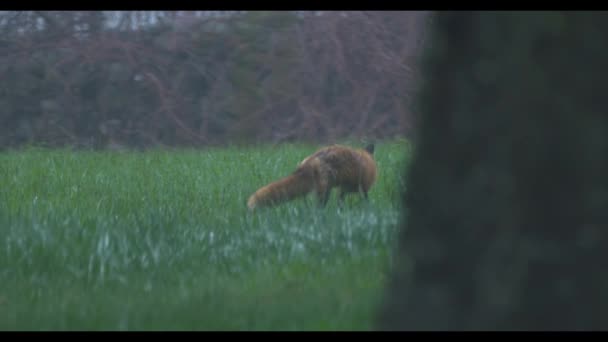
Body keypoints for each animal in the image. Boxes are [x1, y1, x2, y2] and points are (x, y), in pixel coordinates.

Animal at [246, 142, 376, 211]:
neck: (367, 161)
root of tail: (311, 159)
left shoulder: (343, 189)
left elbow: (340, 201)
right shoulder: (362, 186)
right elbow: (366, 199)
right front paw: (369, 210)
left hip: (325, 189)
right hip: (325, 191)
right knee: (318, 208)